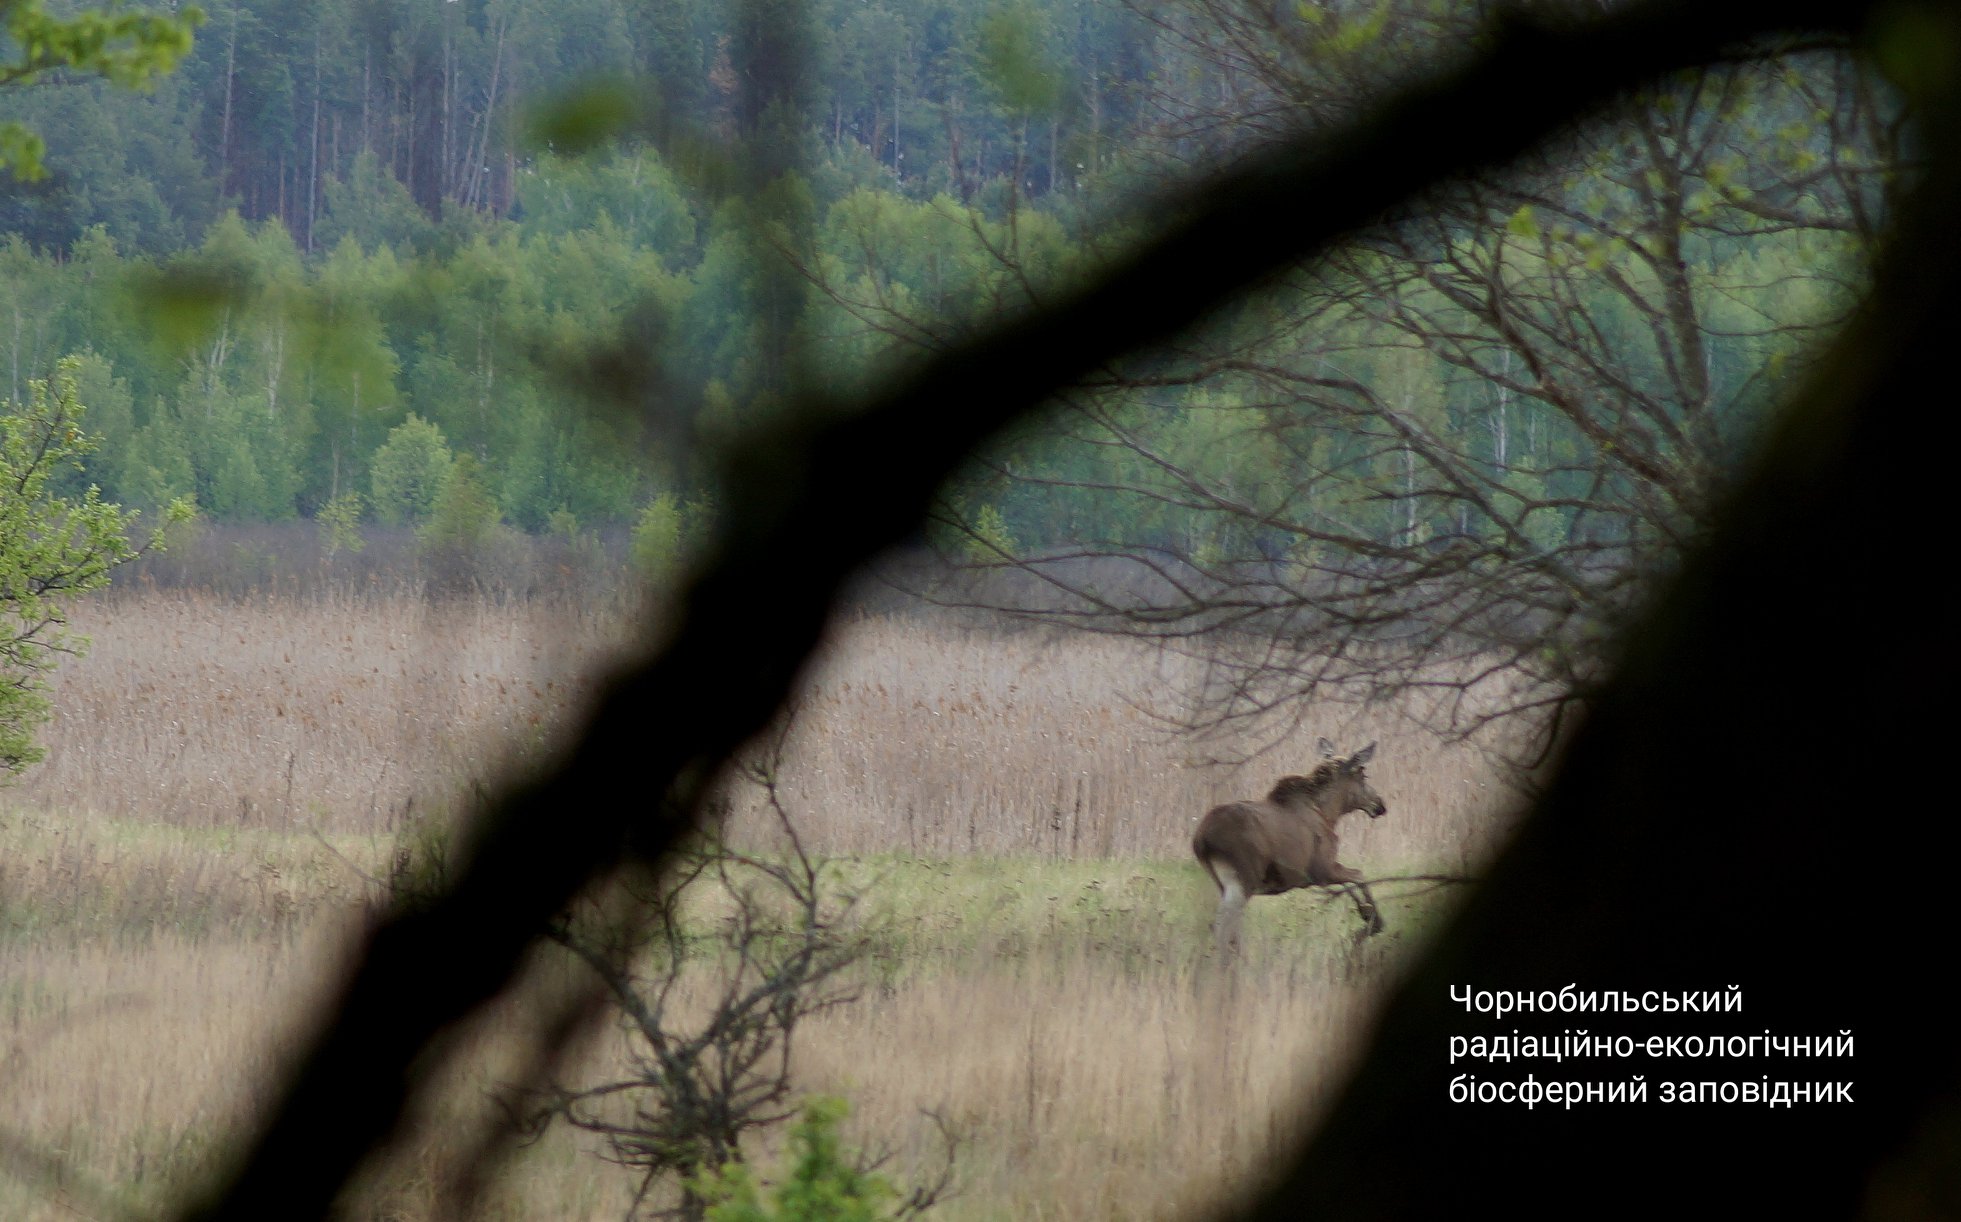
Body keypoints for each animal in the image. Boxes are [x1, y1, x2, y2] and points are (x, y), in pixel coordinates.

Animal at [1184, 741, 1388, 961]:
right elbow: (1359, 875)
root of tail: (1201, 840)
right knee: (1224, 926)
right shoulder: (1320, 870)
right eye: (1363, 775)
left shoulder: (1318, 875)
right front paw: (1373, 922)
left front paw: (1366, 914)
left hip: (1222, 880)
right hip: (1244, 877)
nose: (1380, 804)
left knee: (1225, 926)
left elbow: (1351, 882)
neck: (1329, 814)